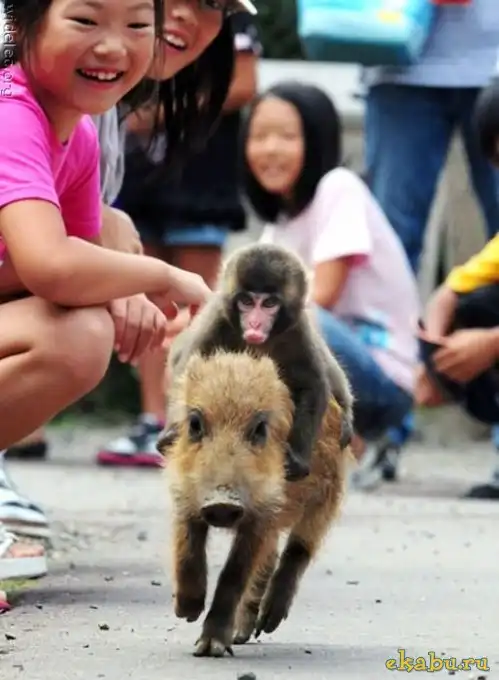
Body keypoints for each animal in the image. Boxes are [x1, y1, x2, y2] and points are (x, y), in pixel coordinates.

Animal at [158, 349, 351, 658]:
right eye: (195, 424)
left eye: (260, 428)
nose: (222, 502)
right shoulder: (184, 494)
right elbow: (187, 550)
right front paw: (186, 612)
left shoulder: (265, 510)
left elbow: (234, 573)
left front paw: (210, 649)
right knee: (271, 557)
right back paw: (242, 635)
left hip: (328, 494)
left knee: (298, 550)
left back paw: (264, 625)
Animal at [165, 242, 354, 482]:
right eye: (247, 301)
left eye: (269, 303)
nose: (254, 324)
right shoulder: (217, 320)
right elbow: (189, 374)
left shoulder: (298, 329)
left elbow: (313, 386)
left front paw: (298, 457)